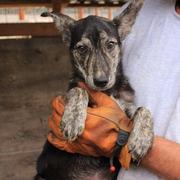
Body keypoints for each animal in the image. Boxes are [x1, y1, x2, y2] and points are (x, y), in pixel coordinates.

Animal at [34, 0, 153, 179]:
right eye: (82, 48)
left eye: (110, 44)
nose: (101, 81)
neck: (107, 92)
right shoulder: (70, 92)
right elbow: (79, 90)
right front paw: (73, 119)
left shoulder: (125, 107)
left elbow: (143, 109)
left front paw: (141, 140)